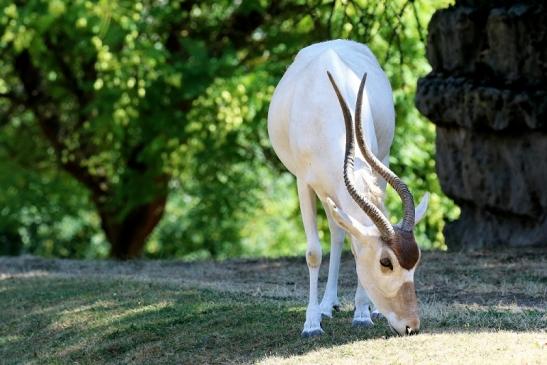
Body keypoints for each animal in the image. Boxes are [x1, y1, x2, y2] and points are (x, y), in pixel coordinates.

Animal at [268, 39, 430, 336]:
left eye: (417, 259)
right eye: (385, 262)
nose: (411, 326)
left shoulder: (375, 168)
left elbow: (356, 246)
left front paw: (362, 313)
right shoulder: (303, 182)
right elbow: (313, 253)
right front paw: (311, 323)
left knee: (339, 231)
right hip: (324, 190)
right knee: (336, 231)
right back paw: (326, 305)